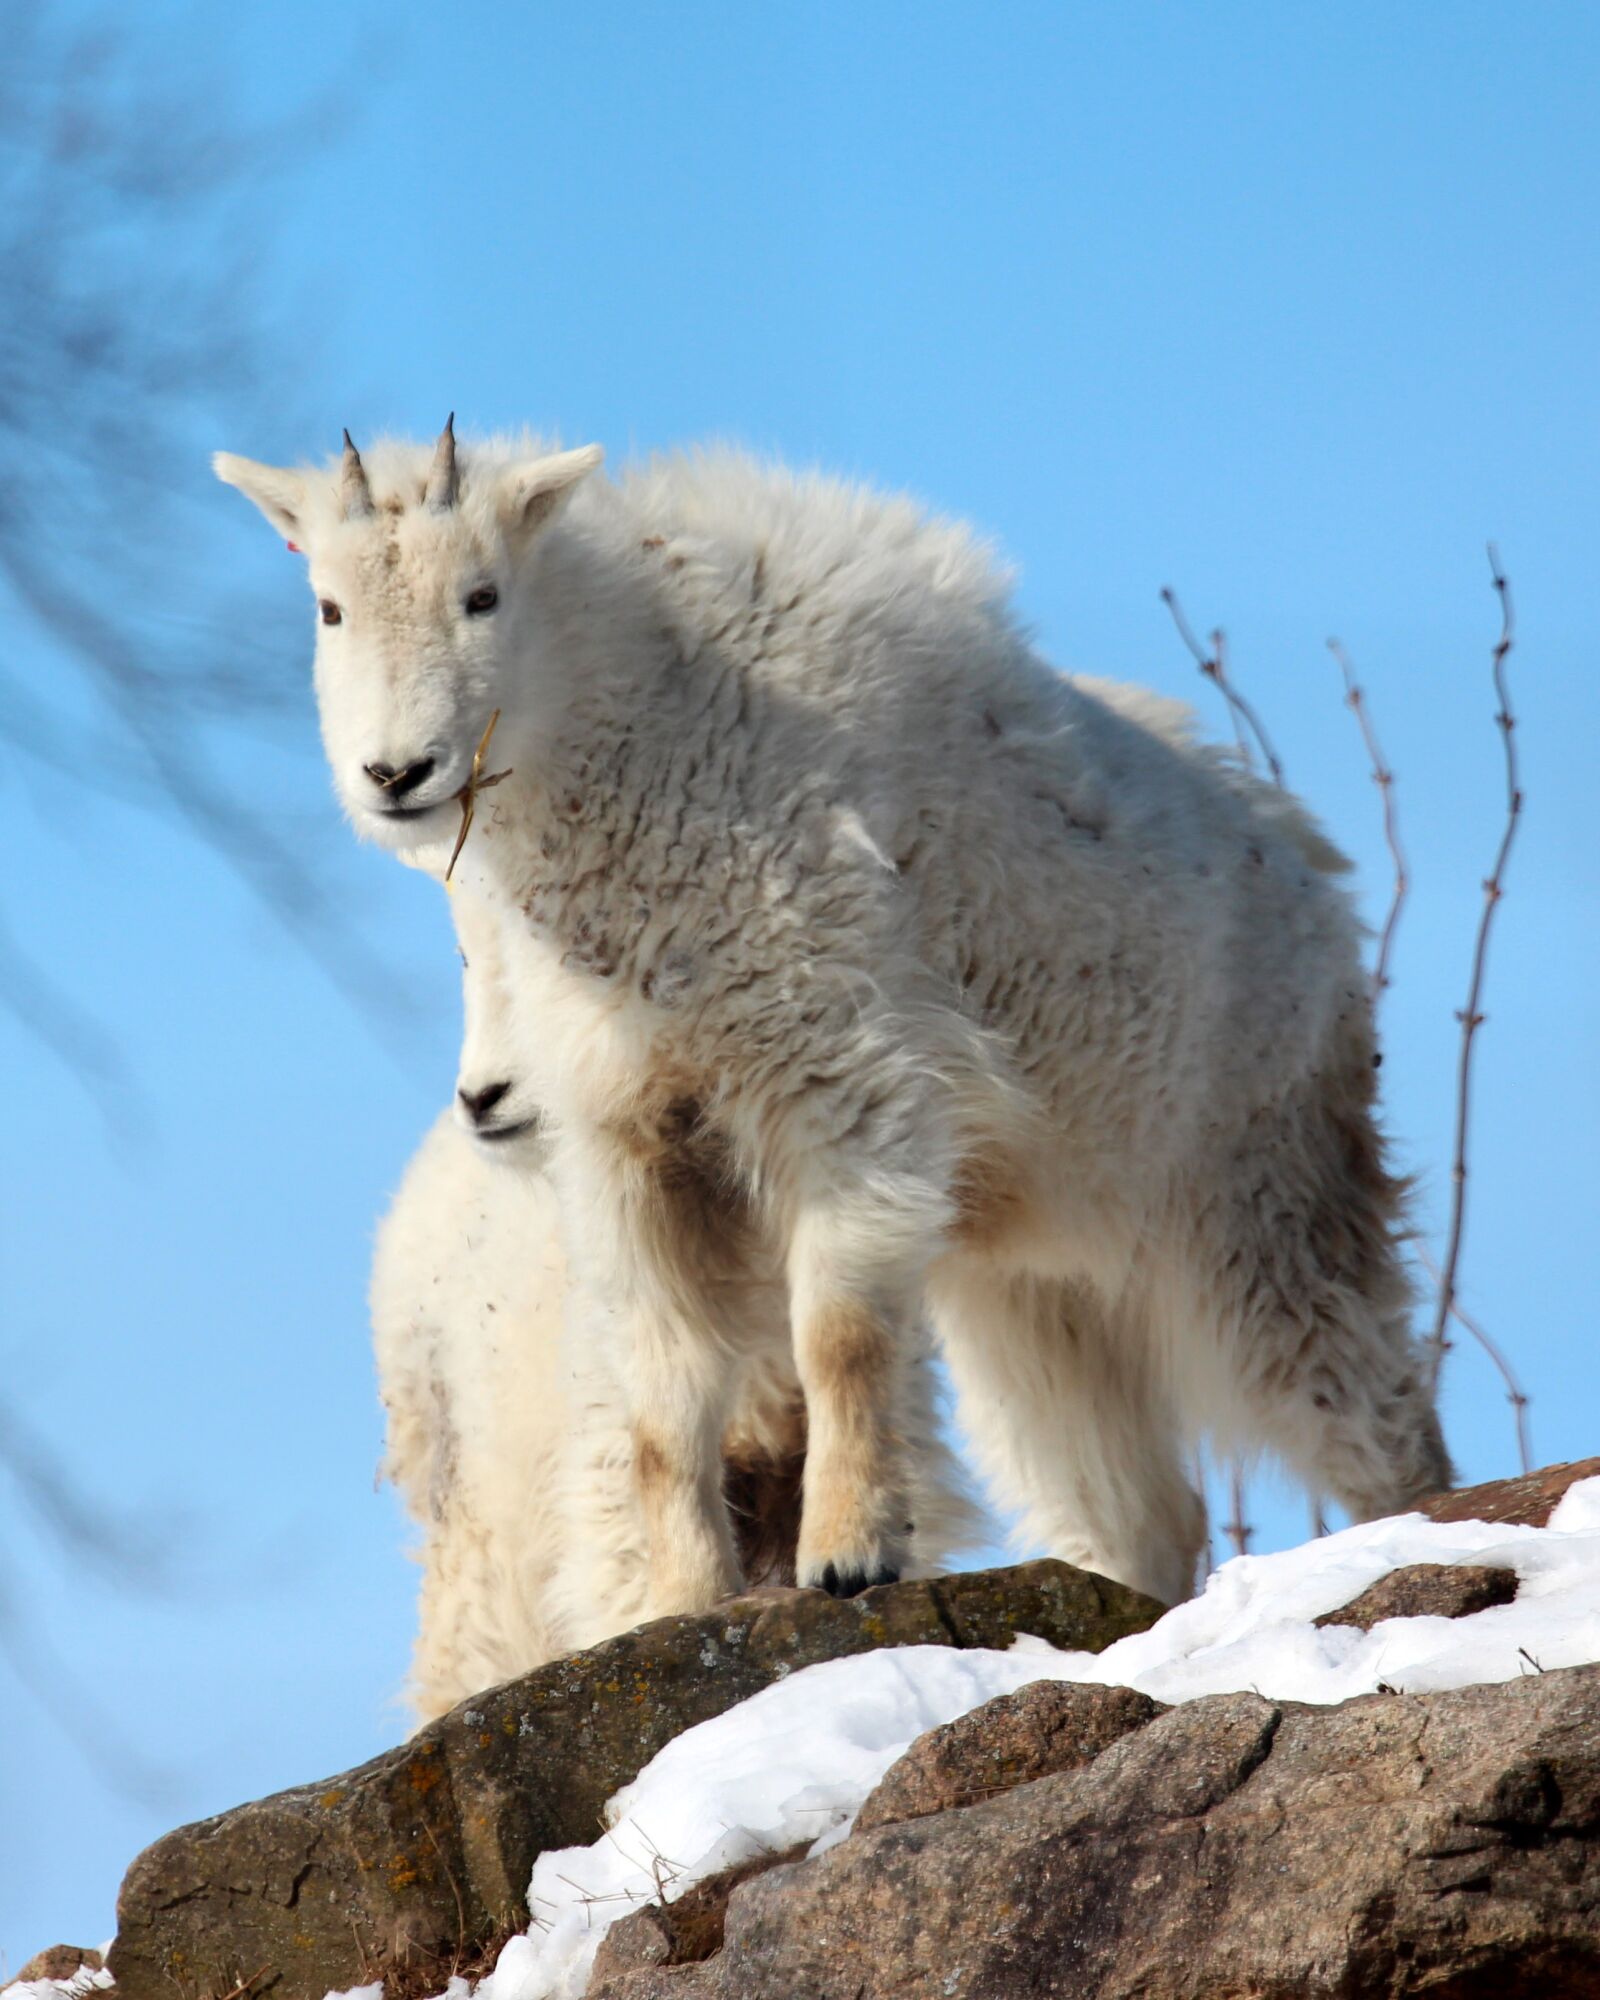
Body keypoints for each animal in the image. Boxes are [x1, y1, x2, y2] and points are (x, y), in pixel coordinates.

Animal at [219, 418, 1456, 1608]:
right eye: (329, 604)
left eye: (481, 594)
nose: (397, 772)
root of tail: (1312, 876)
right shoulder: (633, 1134)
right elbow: (665, 1390)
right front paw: (685, 1596)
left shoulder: (840, 1077)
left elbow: (841, 1334)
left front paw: (850, 1555)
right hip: (1034, 1276)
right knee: (1132, 1496)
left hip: (1255, 1190)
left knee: (1365, 1402)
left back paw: (1409, 1530)